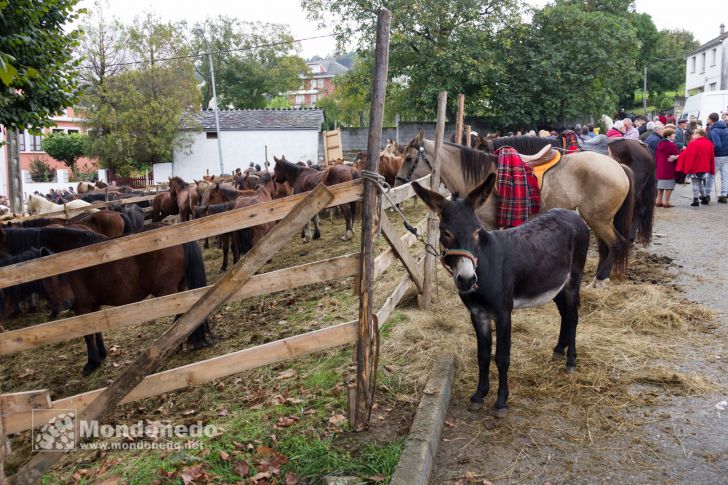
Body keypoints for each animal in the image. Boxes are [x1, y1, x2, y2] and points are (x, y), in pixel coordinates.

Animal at [0, 225, 210, 372]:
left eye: (55, 272)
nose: (65, 303)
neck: (72, 258)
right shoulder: (92, 306)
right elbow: (97, 330)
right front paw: (101, 355)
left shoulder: (81, 307)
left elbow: (88, 335)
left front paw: (91, 363)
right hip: (180, 287)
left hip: (167, 291)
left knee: (181, 314)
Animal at [396, 130, 636, 288]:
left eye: (408, 158)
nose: (397, 181)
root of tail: (617, 166)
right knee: (606, 247)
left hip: (598, 218)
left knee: (617, 244)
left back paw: (600, 280)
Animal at [412, 175, 588, 416]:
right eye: (446, 233)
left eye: (477, 231)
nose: (467, 279)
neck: (484, 264)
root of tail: (574, 214)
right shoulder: (478, 314)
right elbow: (483, 355)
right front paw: (479, 395)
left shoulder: (504, 313)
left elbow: (502, 357)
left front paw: (501, 402)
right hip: (555, 283)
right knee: (564, 315)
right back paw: (559, 351)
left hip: (573, 280)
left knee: (572, 317)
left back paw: (570, 362)